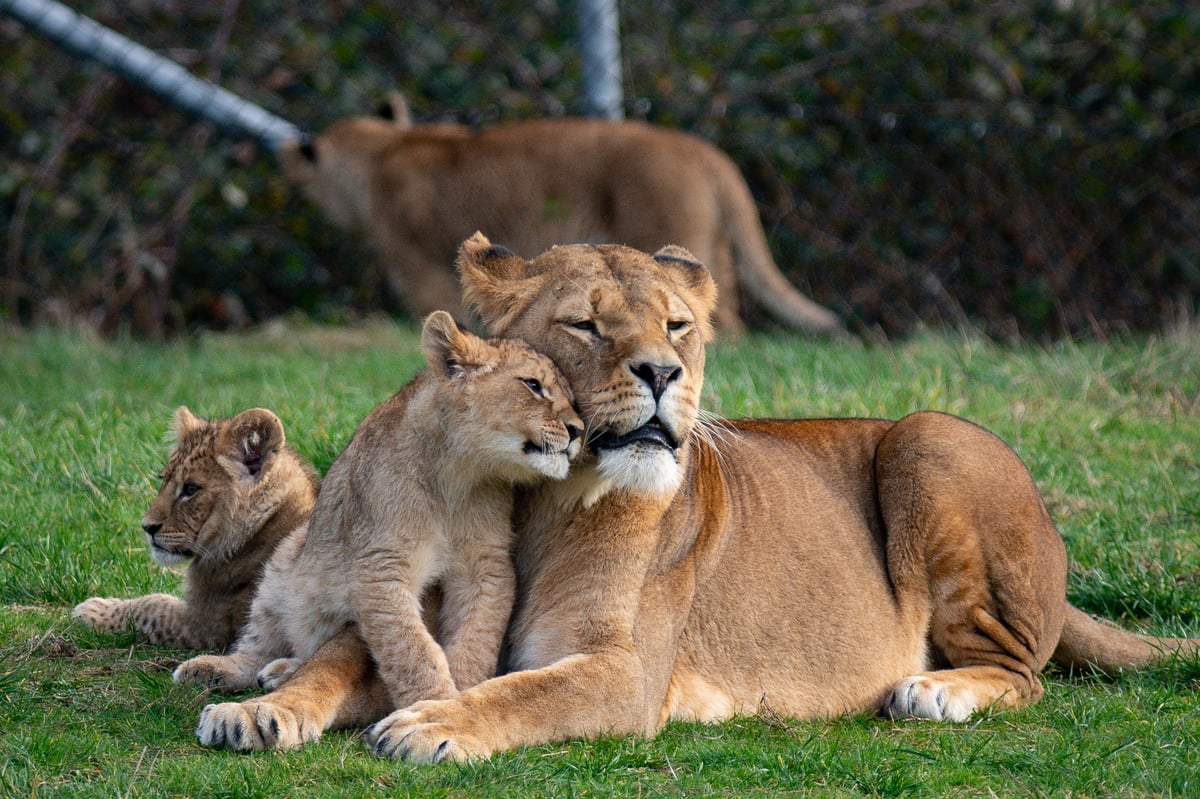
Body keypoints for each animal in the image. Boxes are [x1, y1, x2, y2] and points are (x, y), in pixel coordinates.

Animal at [72, 406, 318, 651]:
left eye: (191, 489)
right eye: (163, 480)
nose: (147, 527)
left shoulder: (205, 625)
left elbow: (151, 607)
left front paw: (93, 609)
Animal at [185, 311, 583, 742]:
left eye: (572, 396)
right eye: (533, 385)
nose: (578, 430)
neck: (457, 477)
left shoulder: (485, 565)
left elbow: (474, 642)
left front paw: (450, 704)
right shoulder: (382, 565)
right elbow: (411, 648)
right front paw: (432, 703)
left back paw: (279, 673)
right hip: (284, 564)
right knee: (260, 641)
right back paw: (214, 669)